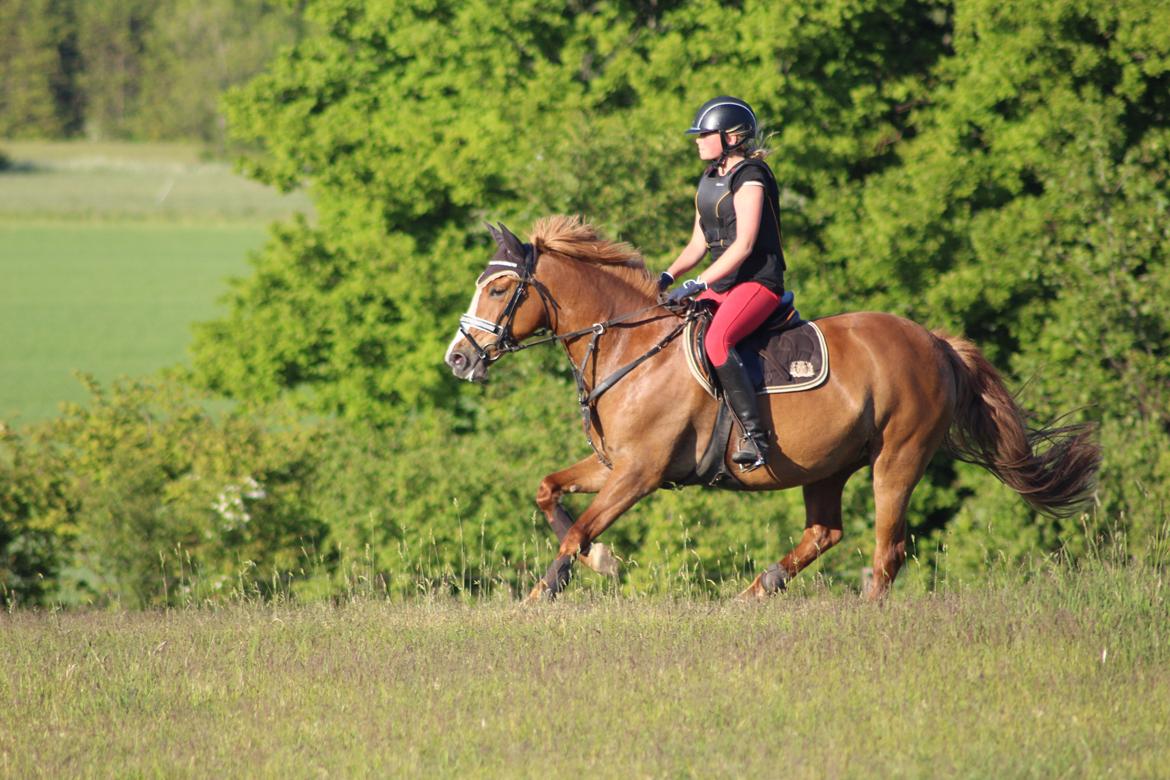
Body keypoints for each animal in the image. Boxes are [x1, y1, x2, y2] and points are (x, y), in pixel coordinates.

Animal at [444, 216, 1101, 602]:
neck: (633, 346)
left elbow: (579, 527)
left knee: (886, 549)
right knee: (825, 531)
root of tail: (935, 343)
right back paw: (757, 591)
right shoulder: (613, 466)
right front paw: (597, 561)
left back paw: (858, 612)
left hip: (897, 460)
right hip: (827, 465)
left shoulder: (640, 472)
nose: (457, 358)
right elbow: (548, 491)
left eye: (498, 289)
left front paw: (546, 592)